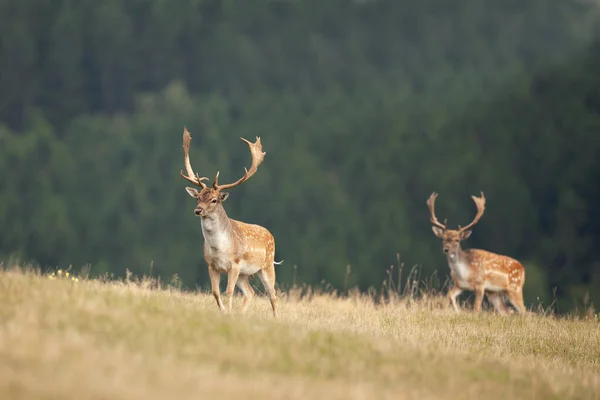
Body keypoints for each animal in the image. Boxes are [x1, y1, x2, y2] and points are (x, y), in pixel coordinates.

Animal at [180, 126, 282, 318]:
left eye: (214, 200)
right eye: (197, 198)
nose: (198, 210)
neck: (219, 249)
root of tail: (271, 234)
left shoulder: (234, 265)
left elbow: (228, 291)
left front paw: (228, 312)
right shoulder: (211, 265)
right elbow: (215, 292)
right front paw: (223, 312)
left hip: (266, 265)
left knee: (272, 295)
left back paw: (275, 318)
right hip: (244, 274)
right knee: (251, 292)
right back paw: (241, 313)